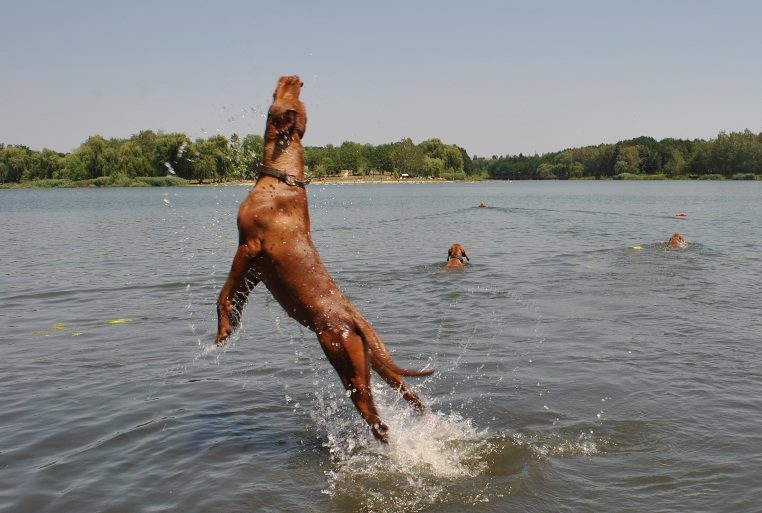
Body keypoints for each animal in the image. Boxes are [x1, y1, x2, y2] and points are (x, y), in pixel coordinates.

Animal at [215, 75, 434, 440]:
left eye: (277, 98)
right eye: (288, 95)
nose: (294, 77)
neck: (283, 179)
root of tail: (353, 319)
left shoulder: (248, 247)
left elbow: (223, 294)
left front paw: (220, 330)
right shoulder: (258, 268)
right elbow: (238, 296)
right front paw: (231, 326)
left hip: (346, 364)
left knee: (376, 419)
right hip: (378, 360)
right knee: (412, 396)